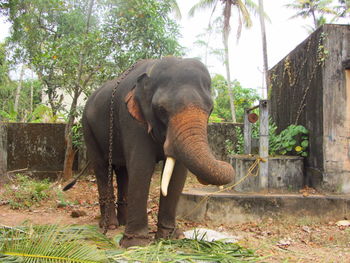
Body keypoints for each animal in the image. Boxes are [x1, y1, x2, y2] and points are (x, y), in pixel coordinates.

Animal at [82, 56, 235, 249]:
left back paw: (122, 223)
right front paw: (136, 244)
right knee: (102, 168)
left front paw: (171, 237)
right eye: (162, 109)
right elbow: (142, 167)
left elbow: (177, 174)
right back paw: (109, 226)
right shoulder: (131, 119)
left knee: (123, 171)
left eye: (211, 110)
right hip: (87, 128)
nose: (224, 161)